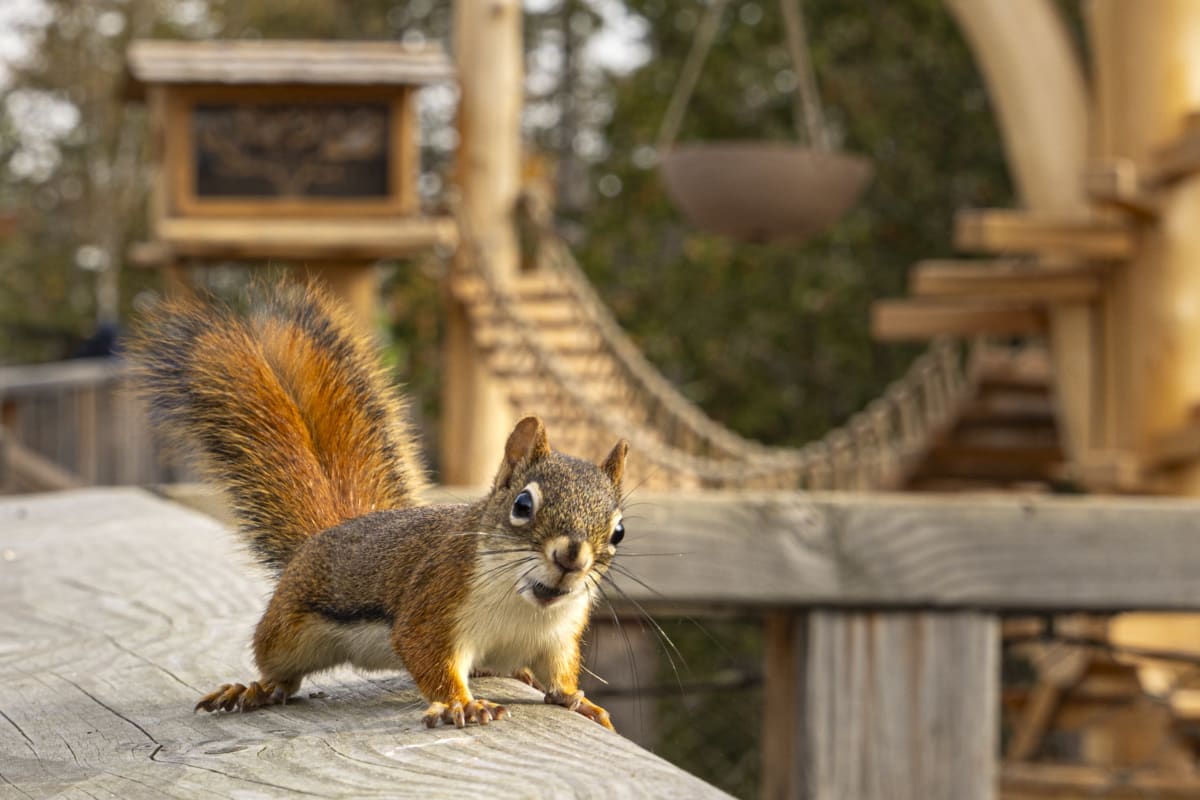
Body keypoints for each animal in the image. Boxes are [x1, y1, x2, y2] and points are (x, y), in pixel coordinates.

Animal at [129, 282, 628, 731]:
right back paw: (254, 689)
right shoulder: (433, 604)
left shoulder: (559, 638)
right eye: (523, 504)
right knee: (281, 674)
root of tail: (324, 534)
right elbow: (428, 657)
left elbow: (560, 677)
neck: (525, 604)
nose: (572, 556)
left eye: (618, 531)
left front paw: (581, 702)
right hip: (287, 631)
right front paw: (461, 705)